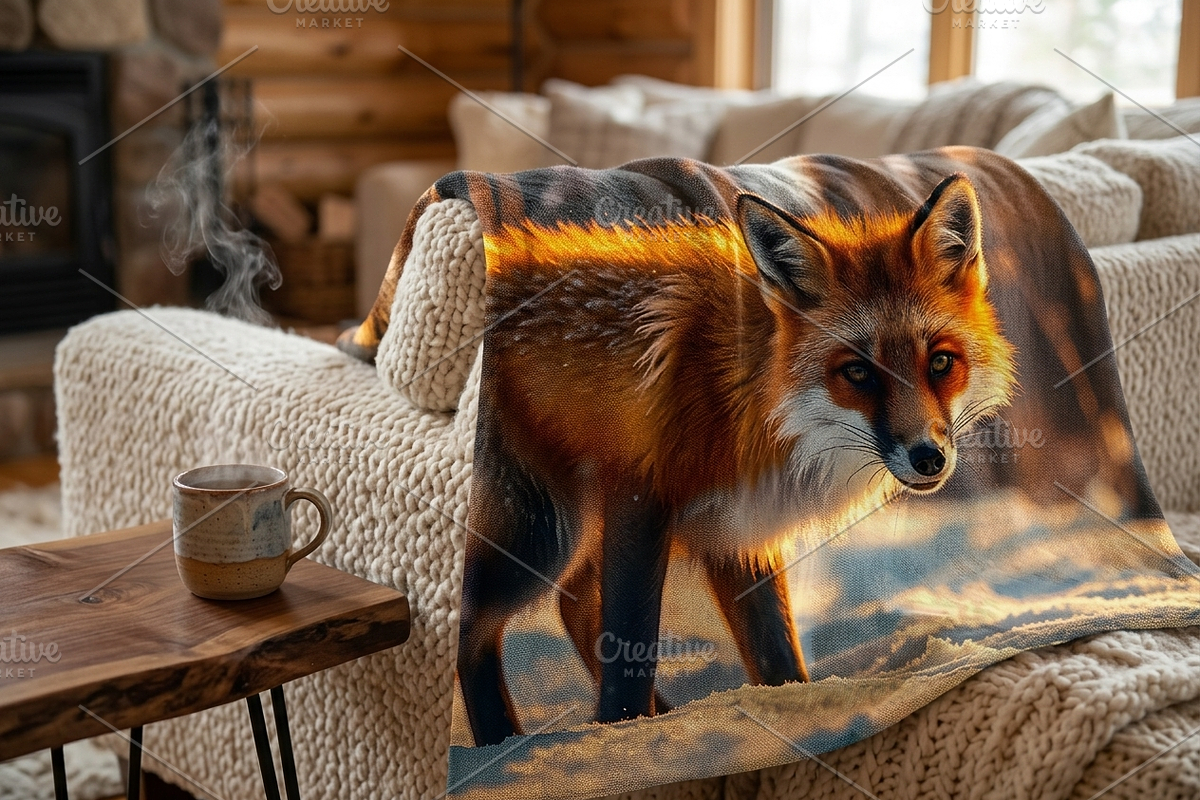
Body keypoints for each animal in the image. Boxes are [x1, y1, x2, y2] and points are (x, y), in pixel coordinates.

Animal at [457, 172, 1018, 746]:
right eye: (858, 373)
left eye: (941, 362)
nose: (929, 458)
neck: (747, 393)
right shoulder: (642, 493)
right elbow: (632, 646)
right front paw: (624, 738)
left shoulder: (740, 527)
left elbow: (777, 658)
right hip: (543, 535)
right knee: (469, 623)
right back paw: (502, 742)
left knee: (569, 604)